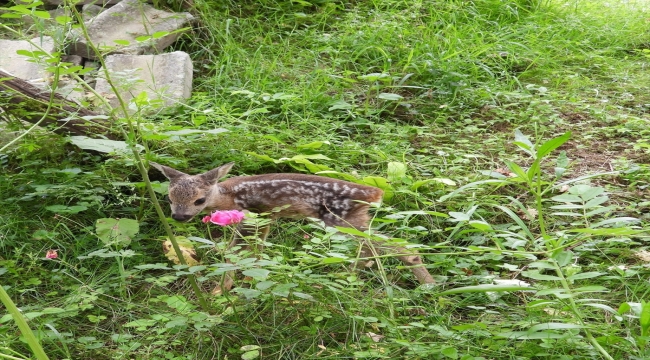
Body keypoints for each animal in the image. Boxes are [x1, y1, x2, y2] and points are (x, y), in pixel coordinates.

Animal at [151, 162, 436, 292]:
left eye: (199, 200)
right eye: (170, 198)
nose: (179, 217)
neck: (227, 197)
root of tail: (375, 192)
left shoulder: (255, 214)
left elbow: (238, 253)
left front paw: (220, 291)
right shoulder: (262, 219)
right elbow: (252, 253)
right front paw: (244, 283)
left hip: (340, 219)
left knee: (390, 246)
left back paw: (428, 284)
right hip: (353, 220)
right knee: (373, 248)